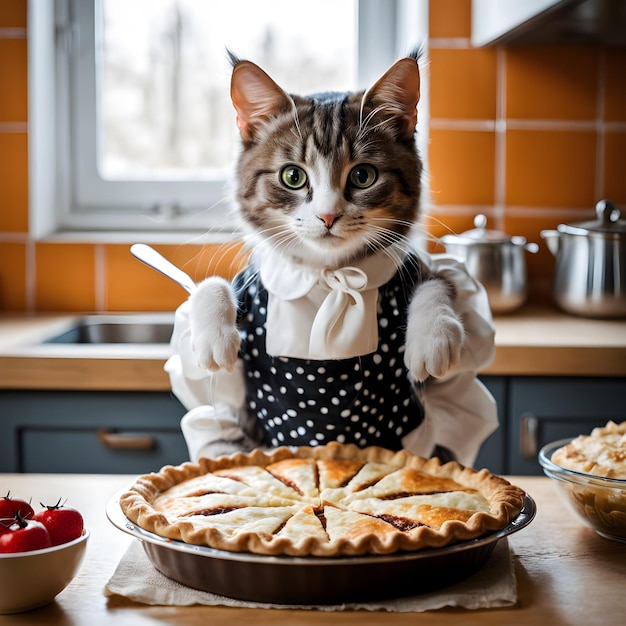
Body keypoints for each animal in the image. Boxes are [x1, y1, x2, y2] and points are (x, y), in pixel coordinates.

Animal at [174, 52, 492, 458]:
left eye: (363, 176)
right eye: (293, 176)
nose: (328, 216)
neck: (328, 277)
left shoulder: (416, 267)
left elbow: (440, 280)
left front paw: (433, 337)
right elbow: (211, 286)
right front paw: (213, 336)